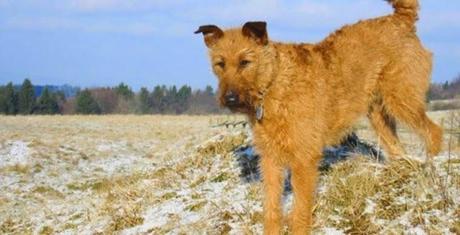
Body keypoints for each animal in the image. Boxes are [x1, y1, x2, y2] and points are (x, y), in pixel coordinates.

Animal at [194, 0, 442, 233]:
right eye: (220, 64)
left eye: (245, 61)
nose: (229, 98)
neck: (275, 81)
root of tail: (400, 20)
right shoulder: (270, 160)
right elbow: (272, 208)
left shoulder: (304, 160)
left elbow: (300, 209)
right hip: (378, 114)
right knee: (398, 148)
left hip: (402, 99)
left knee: (434, 131)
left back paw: (432, 170)